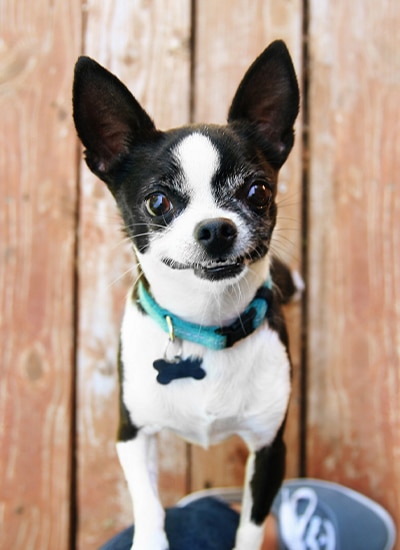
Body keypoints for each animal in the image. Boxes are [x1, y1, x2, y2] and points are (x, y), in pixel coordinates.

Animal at [73, 40, 300, 550]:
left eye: (258, 192)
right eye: (158, 202)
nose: (216, 227)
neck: (206, 323)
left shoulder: (270, 448)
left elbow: (251, 525)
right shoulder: (131, 433)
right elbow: (149, 504)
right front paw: (150, 540)